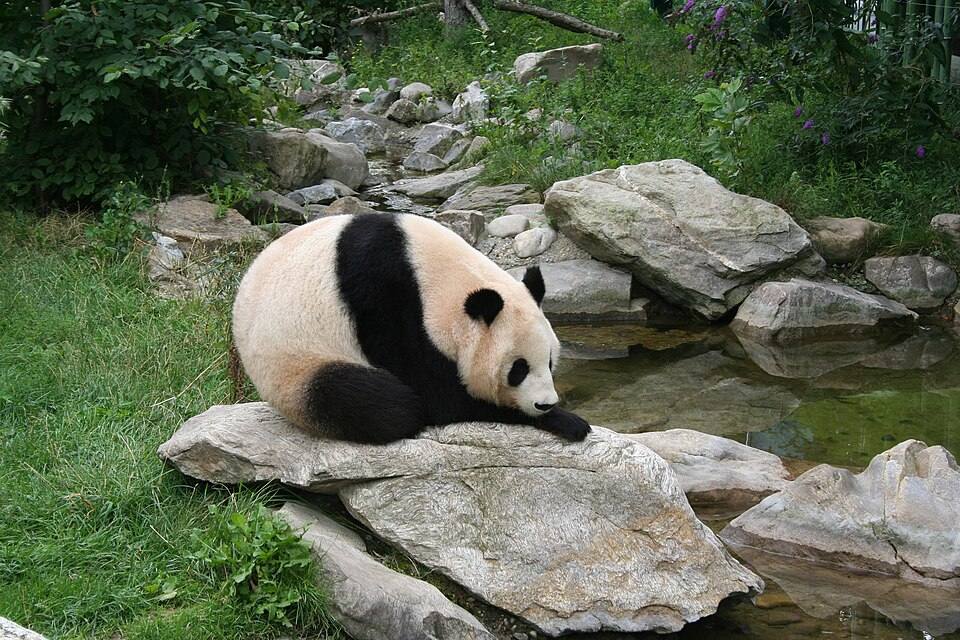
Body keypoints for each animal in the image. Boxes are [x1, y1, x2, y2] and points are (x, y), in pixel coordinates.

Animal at [232, 212, 591, 444]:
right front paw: (568, 422)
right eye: (518, 369)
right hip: (297, 370)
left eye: (549, 362)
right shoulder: (382, 298)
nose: (545, 403)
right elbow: (439, 398)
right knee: (373, 402)